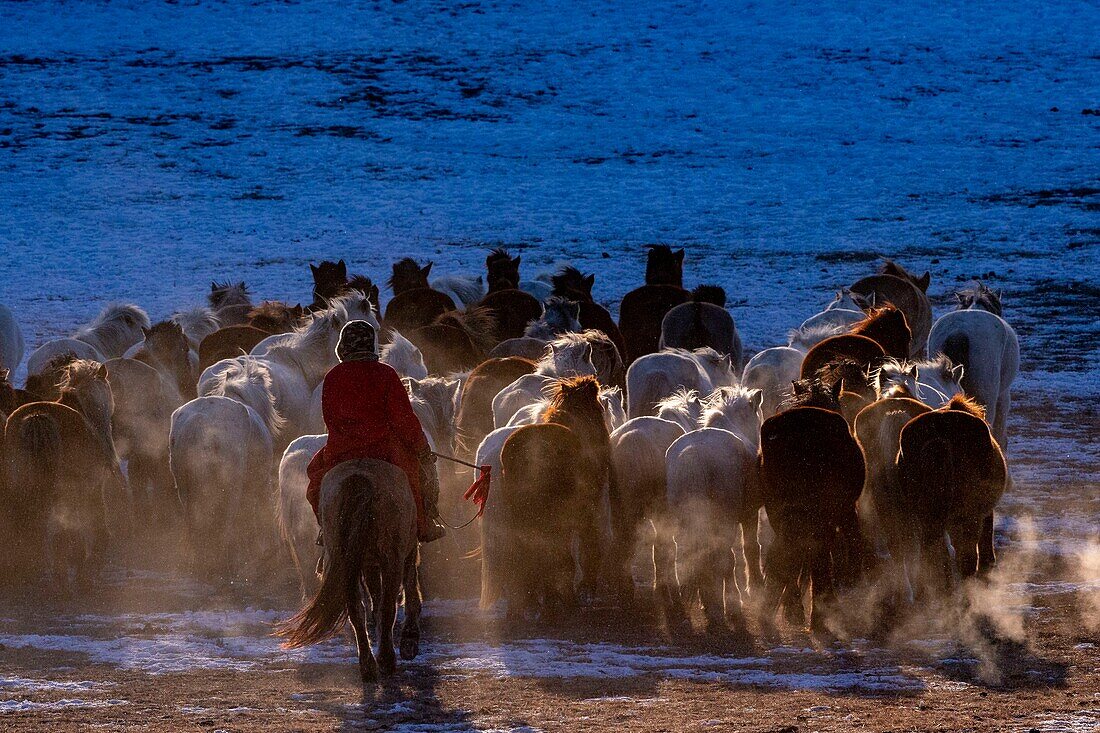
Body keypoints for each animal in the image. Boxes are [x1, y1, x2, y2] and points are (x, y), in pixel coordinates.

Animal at [171, 391, 277, 581]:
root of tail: (197, 422)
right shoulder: (261, 483)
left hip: (186, 491)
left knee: (196, 525)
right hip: (231, 489)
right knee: (226, 526)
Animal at [277, 460, 422, 682]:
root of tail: (359, 479)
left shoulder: (367, 561)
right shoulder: (406, 549)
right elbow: (409, 584)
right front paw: (409, 639)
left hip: (345, 560)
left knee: (356, 608)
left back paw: (368, 665)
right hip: (392, 557)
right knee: (388, 607)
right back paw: (386, 660)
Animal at [660, 383, 765, 629]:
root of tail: (694, 456)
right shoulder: (749, 515)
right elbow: (750, 548)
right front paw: (755, 587)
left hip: (686, 520)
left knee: (689, 554)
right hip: (724, 520)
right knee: (724, 558)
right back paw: (726, 606)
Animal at [761, 376, 862, 633]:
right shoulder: (846, 512)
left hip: (782, 511)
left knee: (786, 553)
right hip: (822, 512)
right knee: (815, 551)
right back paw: (818, 612)